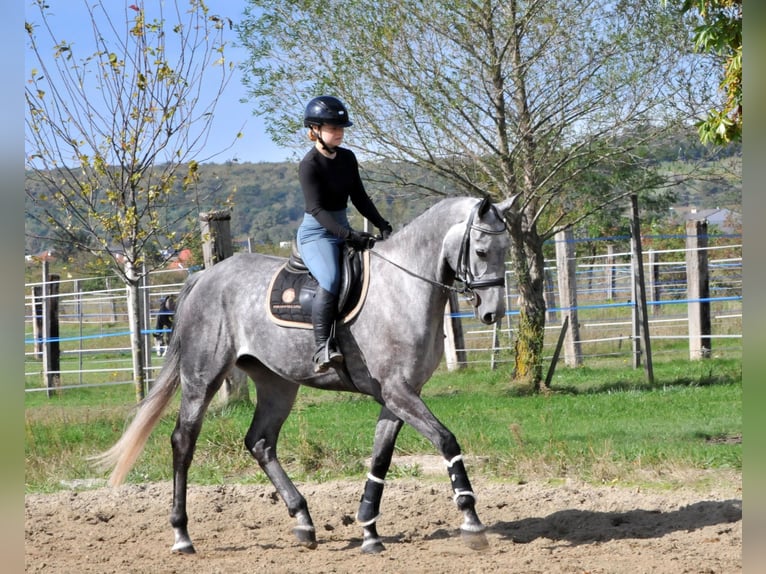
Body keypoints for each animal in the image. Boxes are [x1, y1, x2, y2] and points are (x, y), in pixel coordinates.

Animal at [94, 196, 516, 556]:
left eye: (506, 250)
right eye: (481, 251)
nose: (492, 314)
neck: (404, 289)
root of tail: (205, 277)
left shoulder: (398, 395)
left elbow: (380, 459)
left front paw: (369, 531)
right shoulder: (399, 392)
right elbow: (446, 441)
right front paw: (472, 522)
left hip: (277, 384)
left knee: (260, 442)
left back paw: (303, 521)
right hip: (202, 377)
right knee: (184, 442)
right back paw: (182, 535)